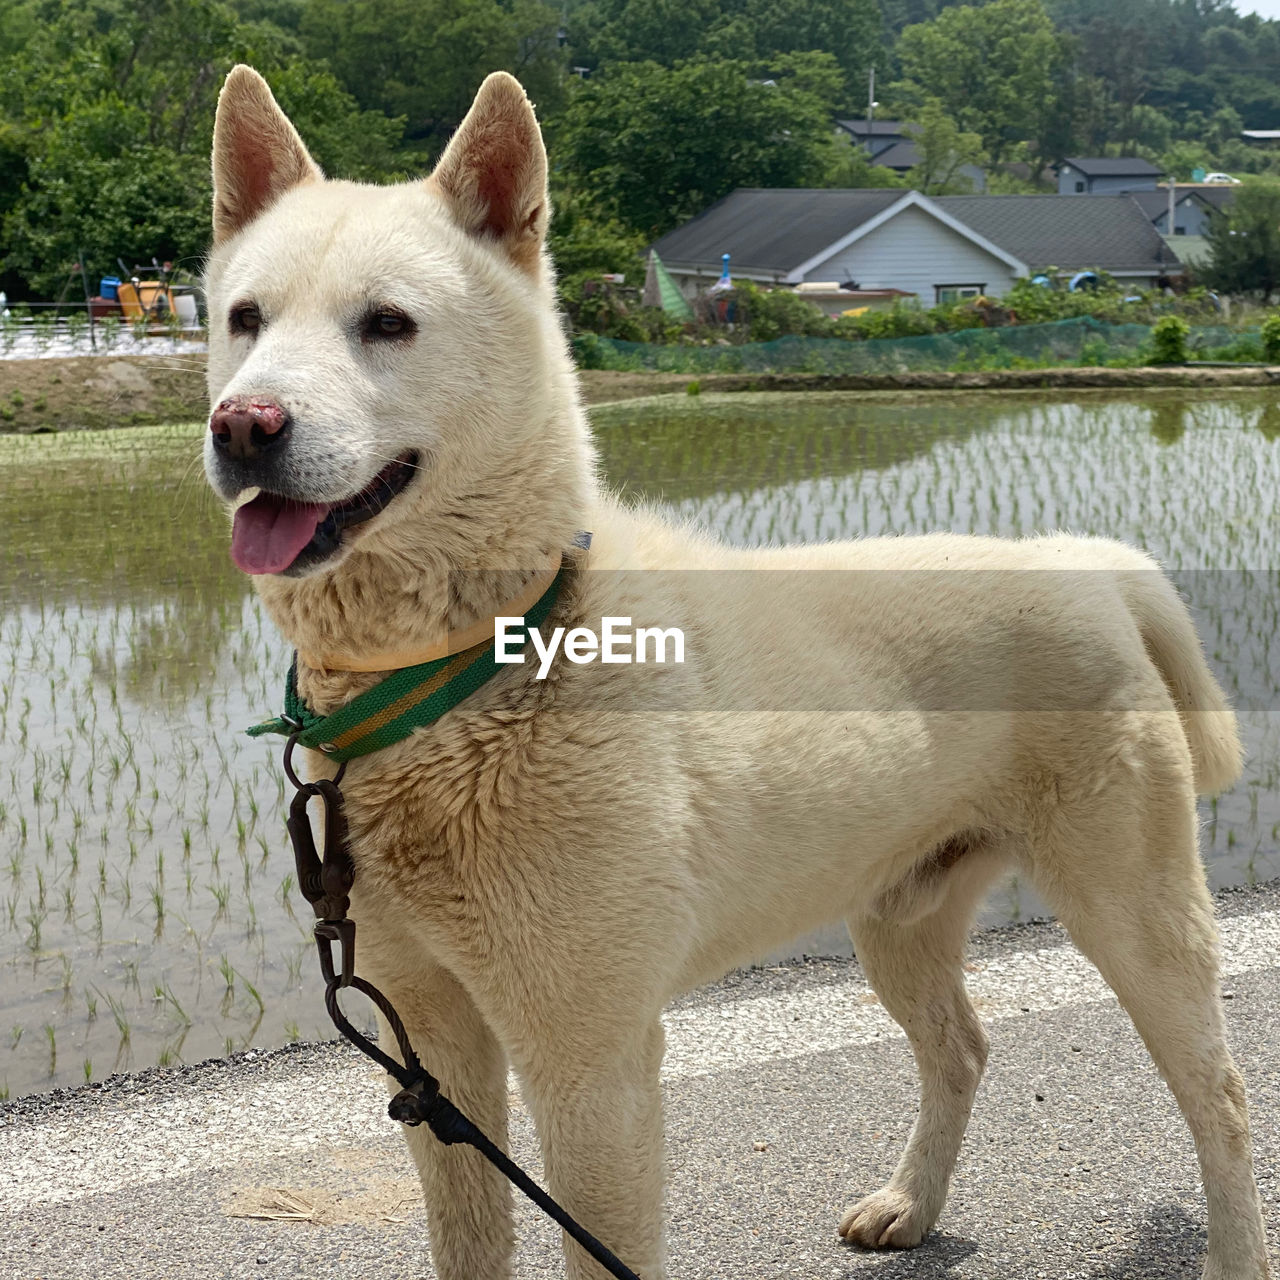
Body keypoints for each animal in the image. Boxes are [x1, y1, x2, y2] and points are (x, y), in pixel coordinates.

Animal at [202, 64, 1269, 1274]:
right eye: (244, 319)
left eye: (386, 323)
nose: (243, 425)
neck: (479, 666)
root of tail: (1079, 558)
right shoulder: (432, 1039)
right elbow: (467, 1240)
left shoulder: (592, 1060)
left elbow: (600, 1246)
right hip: (898, 913)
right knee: (959, 1048)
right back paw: (911, 1203)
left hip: (1134, 910)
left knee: (1220, 1095)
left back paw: (1234, 1248)